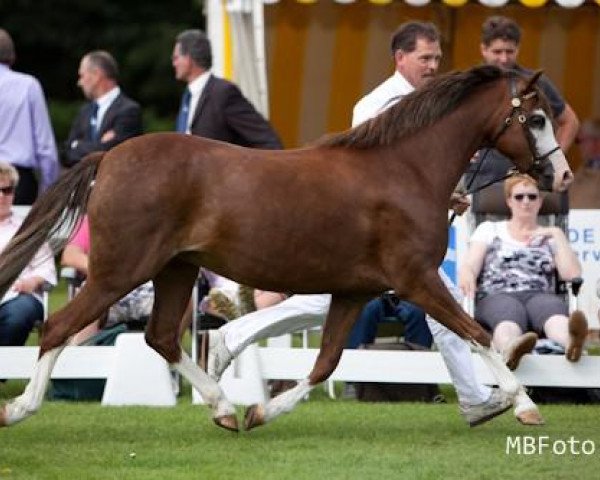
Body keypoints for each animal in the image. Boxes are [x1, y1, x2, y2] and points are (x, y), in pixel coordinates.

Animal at [0, 64, 572, 432]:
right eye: (536, 118)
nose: (561, 176)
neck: (406, 170)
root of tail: (110, 157)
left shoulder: (353, 292)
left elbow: (326, 363)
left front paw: (262, 412)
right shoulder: (416, 280)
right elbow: (477, 333)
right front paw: (523, 404)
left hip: (175, 271)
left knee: (160, 337)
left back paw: (224, 408)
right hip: (118, 271)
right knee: (58, 327)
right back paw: (19, 410)